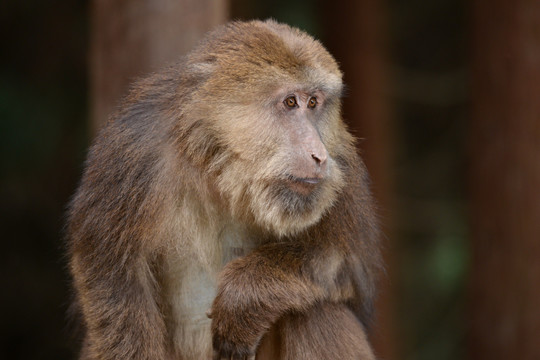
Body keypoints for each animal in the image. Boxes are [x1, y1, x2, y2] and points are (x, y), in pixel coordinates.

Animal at [66, 20, 380, 360]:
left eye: (313, 103)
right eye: (290, 102)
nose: (319, 155)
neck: (220, 167)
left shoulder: (343, 162)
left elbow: (349, 267)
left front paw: (244, 295)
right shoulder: (130, 150)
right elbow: (113, 276)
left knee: (317, 311)